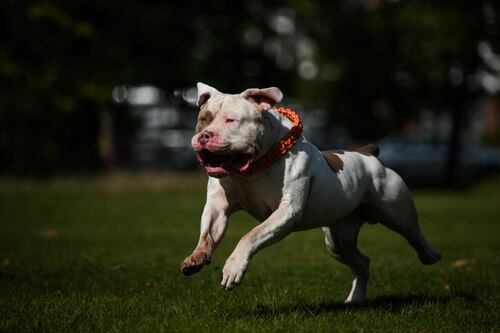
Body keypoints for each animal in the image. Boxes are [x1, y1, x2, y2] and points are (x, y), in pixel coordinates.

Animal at [181, 82, 442, 300]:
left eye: (231, 120)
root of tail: (367, 153)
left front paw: (233, 268)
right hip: (338, 240)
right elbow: (208, 233)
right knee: (362, 263)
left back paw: (431, 255)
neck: (254, 168)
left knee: (414, 235)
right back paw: (355, 299)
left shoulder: (286, 213)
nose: (204, 136)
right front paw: (197, 257)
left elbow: (251, 235)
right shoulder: (218, 207)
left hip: (396, 212)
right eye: (204, 119)